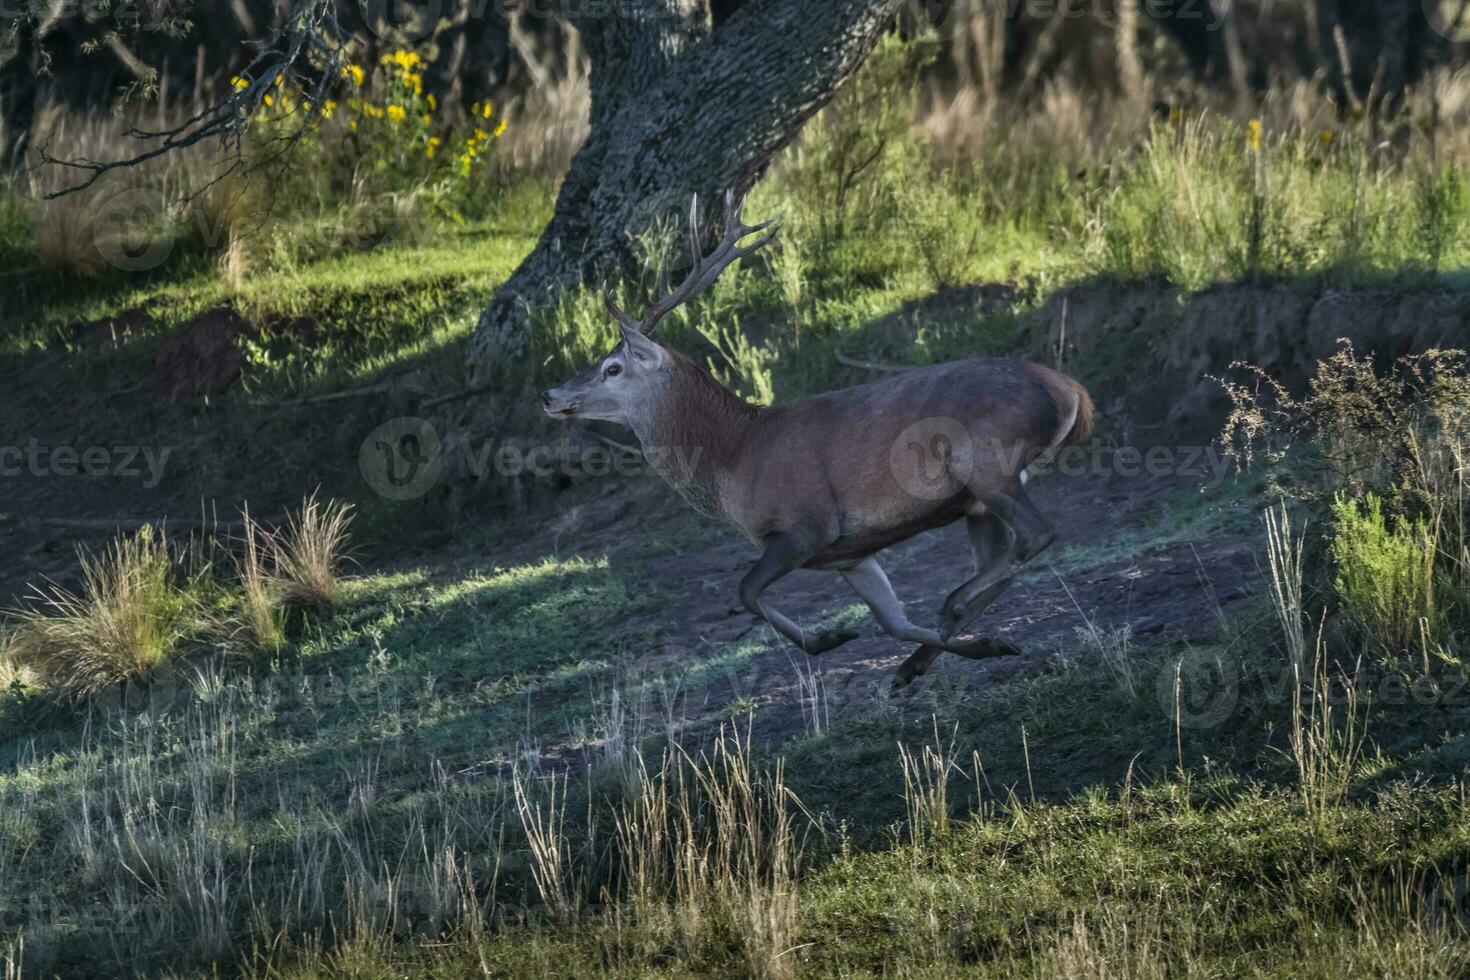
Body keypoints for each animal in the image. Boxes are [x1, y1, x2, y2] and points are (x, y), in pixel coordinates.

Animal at [543, 188, 1093, 687]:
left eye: (612, 368)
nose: (550, 394)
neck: (733, 457)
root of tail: (1073, 393)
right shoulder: (849, 554)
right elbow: (891, 620)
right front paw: (969, 651)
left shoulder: (805, 525)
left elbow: (745, 591)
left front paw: (832, 638)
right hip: (975, 503)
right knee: (1004, 557)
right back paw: (933, 651)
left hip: (982, 456)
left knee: (1037, 533)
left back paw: (952, 603)